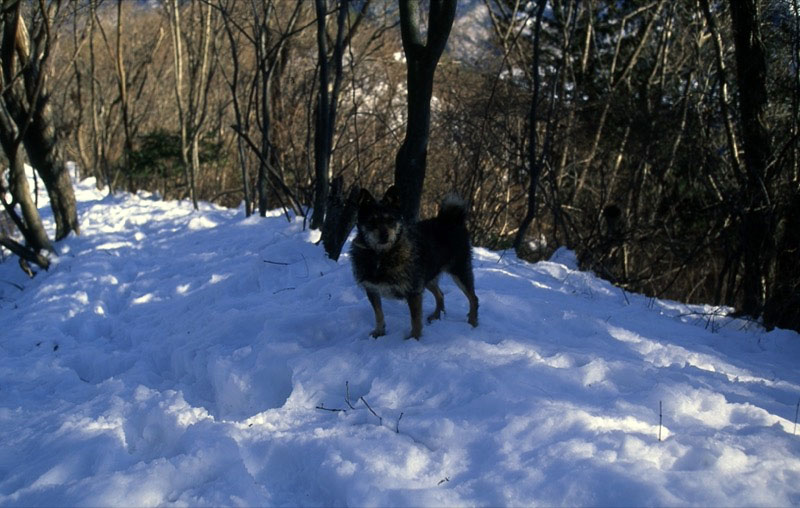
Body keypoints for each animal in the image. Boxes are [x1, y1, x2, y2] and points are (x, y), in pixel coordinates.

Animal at [348, 185, 476, 340]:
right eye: (372, 222)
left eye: (391, 220)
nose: (384, 235)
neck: (382, 255)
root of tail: (451, 220)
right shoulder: (372, 290)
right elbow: (379, 314)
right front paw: (379, 332)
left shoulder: (413, 292)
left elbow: (415, 319)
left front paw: (414, 338)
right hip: (427, 277)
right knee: (440, 294)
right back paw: (436, 316)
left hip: (459, 272)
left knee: (473, 298)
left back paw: (473, 322)